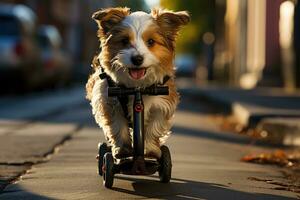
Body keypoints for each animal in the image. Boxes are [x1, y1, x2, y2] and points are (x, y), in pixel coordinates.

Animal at [86, 7, 190, 159]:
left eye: (151, 41)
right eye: (124, 41)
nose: (137, 59)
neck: (137, 87)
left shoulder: (161, 103)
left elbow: (154, 127)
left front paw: (151, 150)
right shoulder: (109, 101)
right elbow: (117, 126)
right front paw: (122, 149)